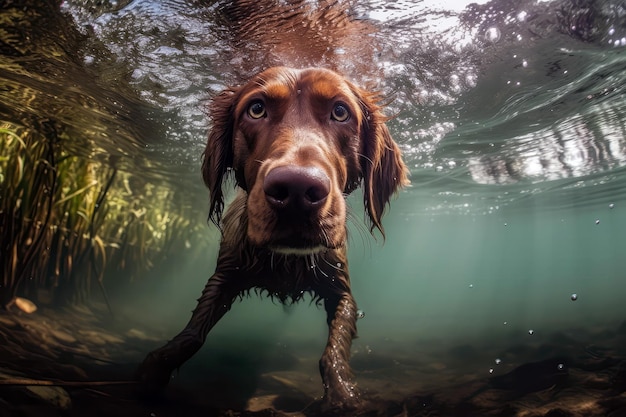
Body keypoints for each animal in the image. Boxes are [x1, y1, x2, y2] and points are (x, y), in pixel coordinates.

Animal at [136, 67, 408, 410]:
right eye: (256, 109)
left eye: (340, 111)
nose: (296, 191)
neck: (287, 259)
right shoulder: (224, 275)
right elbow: (193, 333)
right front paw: (155, 369)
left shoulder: (341, 291)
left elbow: (332, 352)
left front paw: (344, 394)